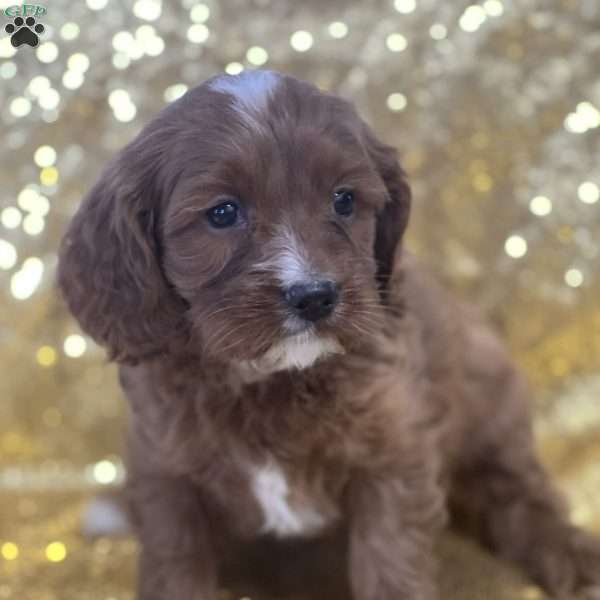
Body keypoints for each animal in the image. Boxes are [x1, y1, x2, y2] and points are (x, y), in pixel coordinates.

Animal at [56, 71, 600, 600]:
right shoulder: (166, 475)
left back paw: (572, 556)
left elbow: (390, 563)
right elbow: (175, 568)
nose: (314, 296)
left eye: (344, 200)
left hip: (489, 400)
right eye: (223, 213)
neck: (273, 379)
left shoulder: (394, 454)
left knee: (518, 493)